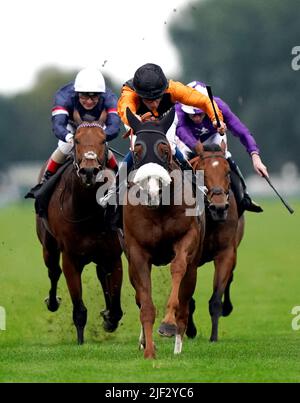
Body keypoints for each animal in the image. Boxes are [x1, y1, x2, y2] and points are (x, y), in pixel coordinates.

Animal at [36, 116, 123, 344]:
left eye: (103, 140)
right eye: (76, 140)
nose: (89, 171)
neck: (88, 209)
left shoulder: (113, 255)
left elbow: (116, 305)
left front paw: (109, 318)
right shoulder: (71, 258)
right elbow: (79, 309)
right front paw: (81, 342)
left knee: (101, 275)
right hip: (48, 245)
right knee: (53, 270)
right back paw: (52, 301)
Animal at [123, 108, 205, 360]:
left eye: (165, 150)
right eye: (136, 151)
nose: (151, 193)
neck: (159, 208)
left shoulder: (187, 237)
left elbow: (177, 268)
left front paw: (168, 324)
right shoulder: (137, 252)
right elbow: (146, 304)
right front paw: (149, 350)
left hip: (194, 266)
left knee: (186, 301)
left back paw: (178, 344)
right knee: (139, 297)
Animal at [189, 142, 245, 344]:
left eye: (228, 172)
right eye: (202, 173)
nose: (219, 208)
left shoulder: (226, 252)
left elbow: (216, 298)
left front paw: (213, 337)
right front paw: (190, 330)